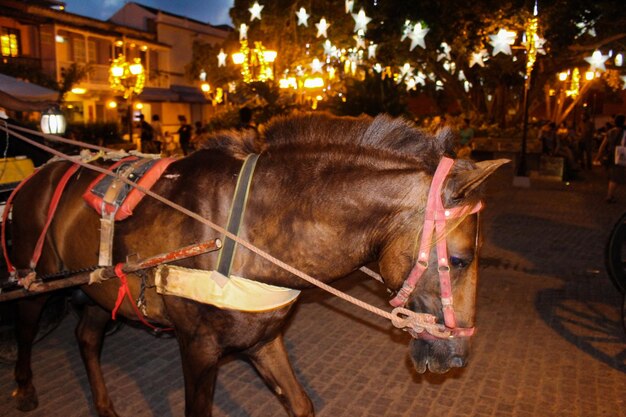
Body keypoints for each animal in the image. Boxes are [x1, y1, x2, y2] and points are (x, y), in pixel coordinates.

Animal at [7, 112, 504, 414]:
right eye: (459, 260)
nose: (457, 356)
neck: (241, 231)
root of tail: (39, 172)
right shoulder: (198, 347)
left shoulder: (263, 339)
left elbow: (300, 403)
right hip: (33, 278)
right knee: (26, 327)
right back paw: (25, 388)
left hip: (99, 288)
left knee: (87, 338)